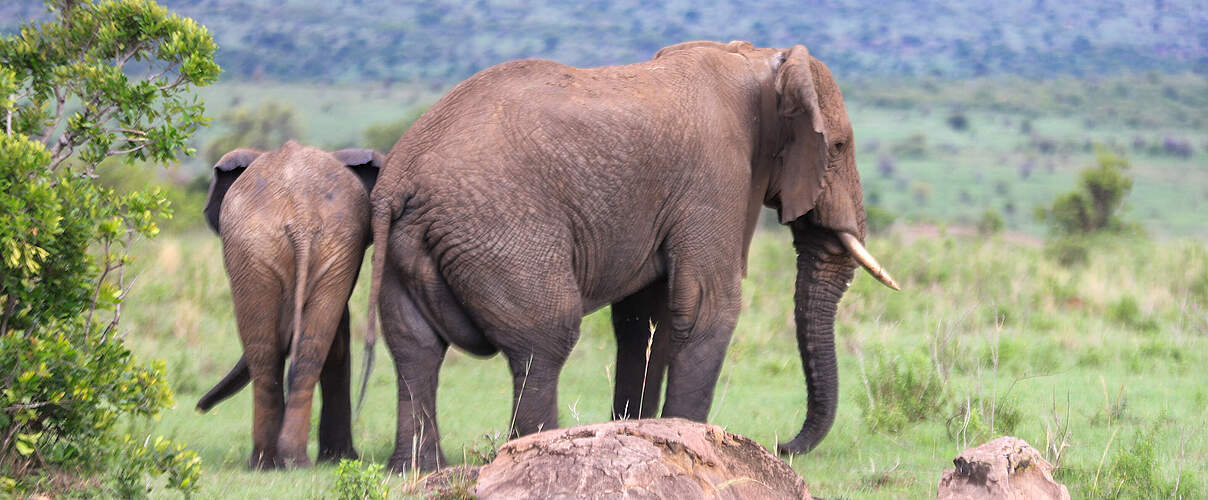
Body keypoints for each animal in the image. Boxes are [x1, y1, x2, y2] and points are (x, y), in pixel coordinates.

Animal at [196, 139, 381, 468]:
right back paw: (280, 463)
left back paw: (277, 463)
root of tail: (301, 216)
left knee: (275, 351)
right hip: (264, 248)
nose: (199, 408)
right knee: (288, 350)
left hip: (272, 250)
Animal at [362, 40, 903, 473]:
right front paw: (697, 444)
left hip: (411, 245)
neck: (759, 61)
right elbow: (708, 307)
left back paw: (415, 470)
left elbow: (644, 320)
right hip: (502, 231)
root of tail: (400, 180)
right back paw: (532, 452)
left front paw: (640, 434)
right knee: (545, 339)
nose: (784, 445)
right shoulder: (716, 174)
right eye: (838, 146)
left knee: (414, 347)